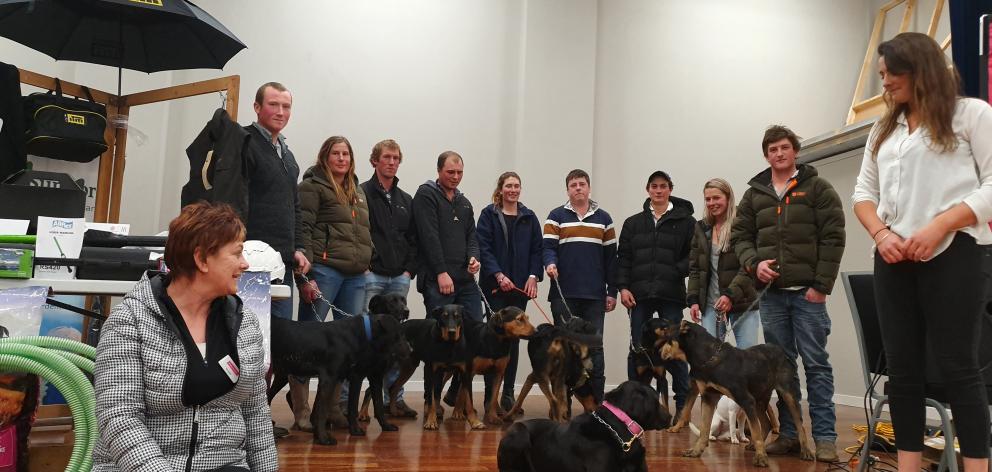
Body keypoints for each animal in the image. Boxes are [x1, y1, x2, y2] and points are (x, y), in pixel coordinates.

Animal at [652, 318, 812, 466]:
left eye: (668, 339)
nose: (658, 353)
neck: (708, 356)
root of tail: (779, 349)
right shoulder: (708, 397)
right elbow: (704, 429)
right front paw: (696, 451)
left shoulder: (746, 399)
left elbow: (755, 431)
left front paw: (761, 458)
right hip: (760, 399)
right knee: (766, 423)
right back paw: (753, 445)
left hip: (787, 393)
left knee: (799, 425)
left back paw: (806, 452)